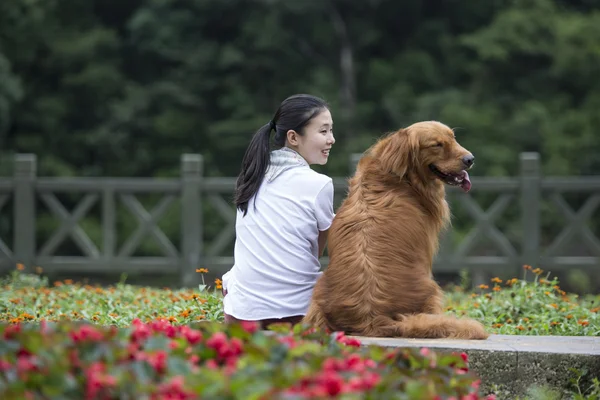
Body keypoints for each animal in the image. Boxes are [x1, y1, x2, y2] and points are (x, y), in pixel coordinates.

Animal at [302, 120, 490, 340]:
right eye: (436, 145)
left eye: (453, 138)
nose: (470, 159)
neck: (398, 178)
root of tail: (372, 318)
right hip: (432, 288)